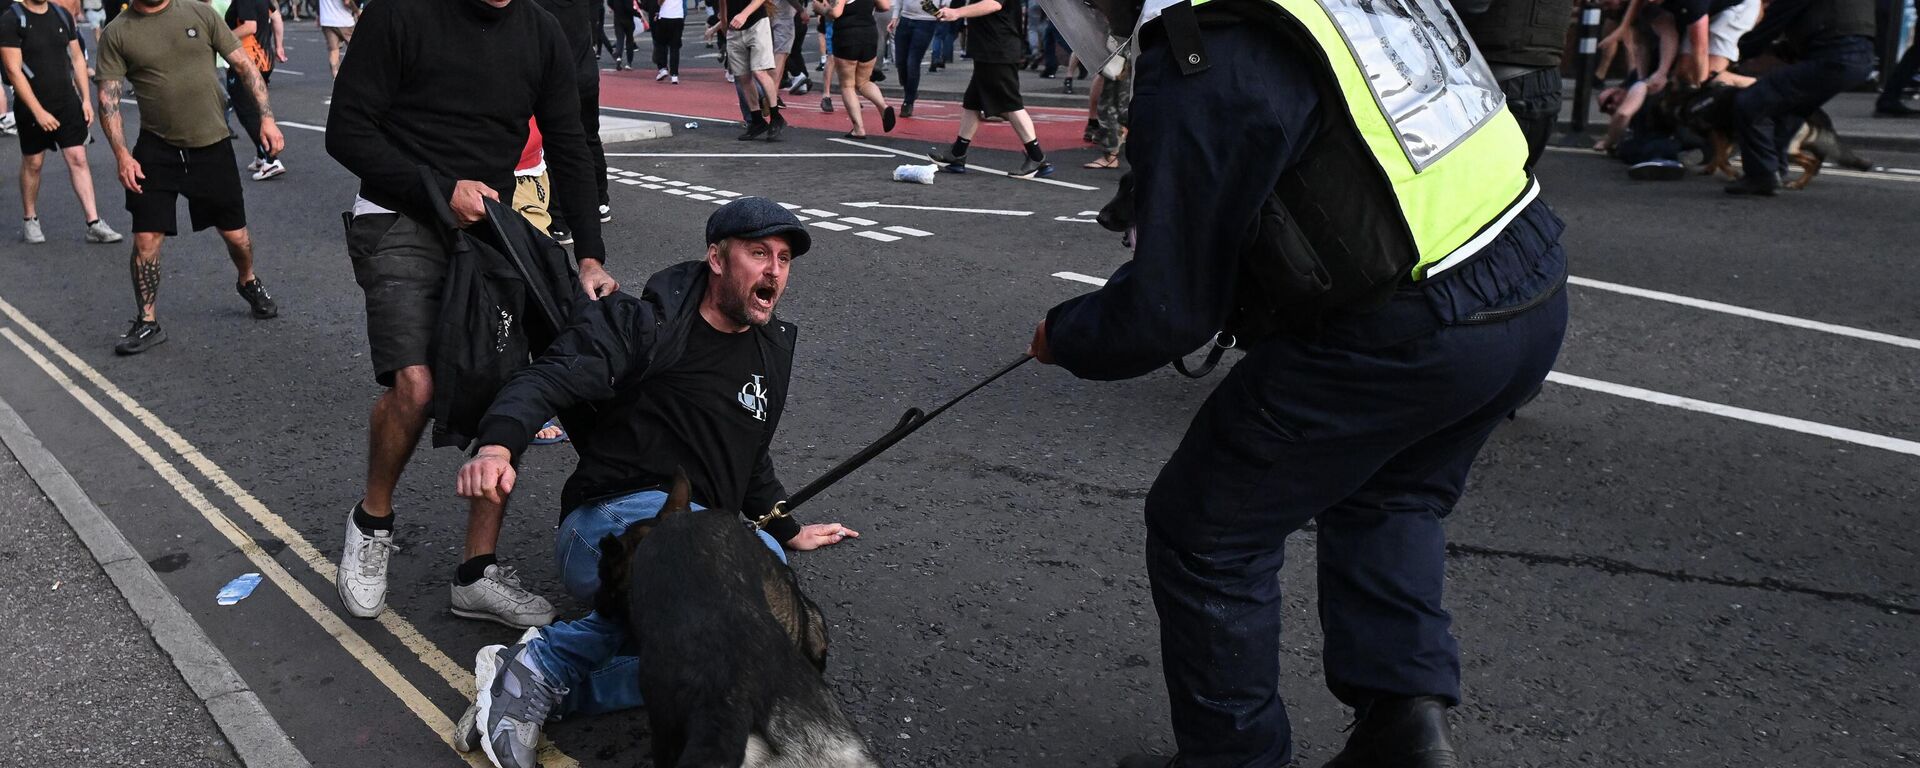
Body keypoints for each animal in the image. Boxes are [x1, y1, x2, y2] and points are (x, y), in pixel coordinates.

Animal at [1666, 83, 1873, 189]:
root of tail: (1815, 111)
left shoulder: (1719, 134)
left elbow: (1721, 157)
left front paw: (1731, 174)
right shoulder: (1731, 138)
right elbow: (1720, 157)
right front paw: (1712, 169)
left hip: (1787, 148)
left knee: (1811, 162)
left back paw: (1797, 184)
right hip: (1808, 143)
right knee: (1817, 160)